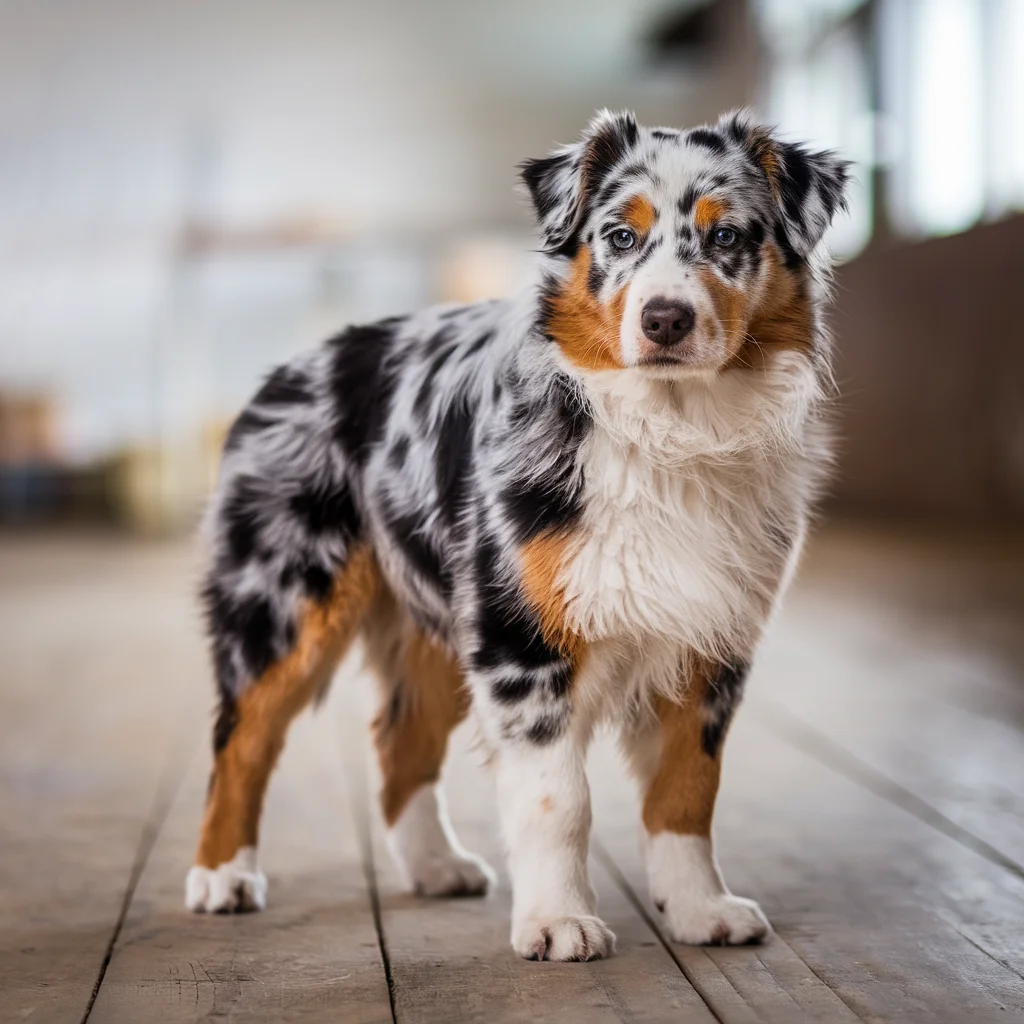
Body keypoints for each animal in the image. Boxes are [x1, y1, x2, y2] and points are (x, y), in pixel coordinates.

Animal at [184, 110, 847, 958]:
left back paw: (434, 866)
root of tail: (289, 369)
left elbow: (687, 791)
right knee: (240, 740)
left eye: (727, 235)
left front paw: (701, 909)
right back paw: (221, 876)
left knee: (399, 741)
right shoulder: (523, 638)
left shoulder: (710, 641)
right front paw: (559, 920)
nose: (665, 318)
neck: (668, 431)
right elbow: (558, 800)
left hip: (435, 628)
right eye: (619, 237)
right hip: (282, 603)